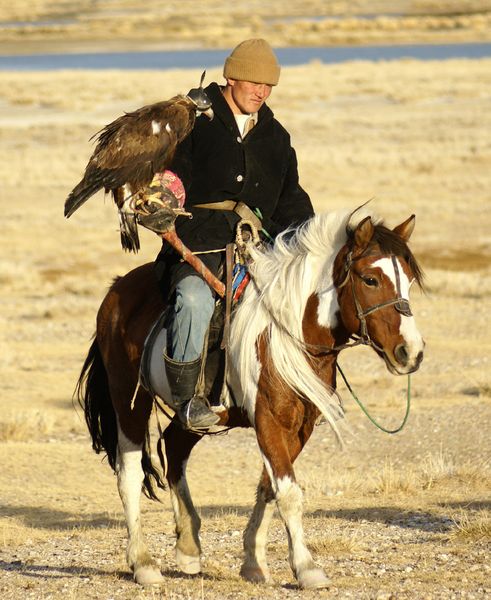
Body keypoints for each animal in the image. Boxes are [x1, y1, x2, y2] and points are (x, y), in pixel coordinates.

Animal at [75, 209, 424, 588]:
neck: (287, 331)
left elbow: (270, 488)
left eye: (408, 279)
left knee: (174, 448)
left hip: (196, 414)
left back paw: (188, 546)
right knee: (130, 474)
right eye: (370, 279)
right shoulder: (268, 420)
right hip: (128, 399)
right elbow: (289, 493)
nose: (411, 352)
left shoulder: (299, 427)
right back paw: (143, 563)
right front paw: (306, 568)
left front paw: (254, 561)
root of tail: (116, 289)